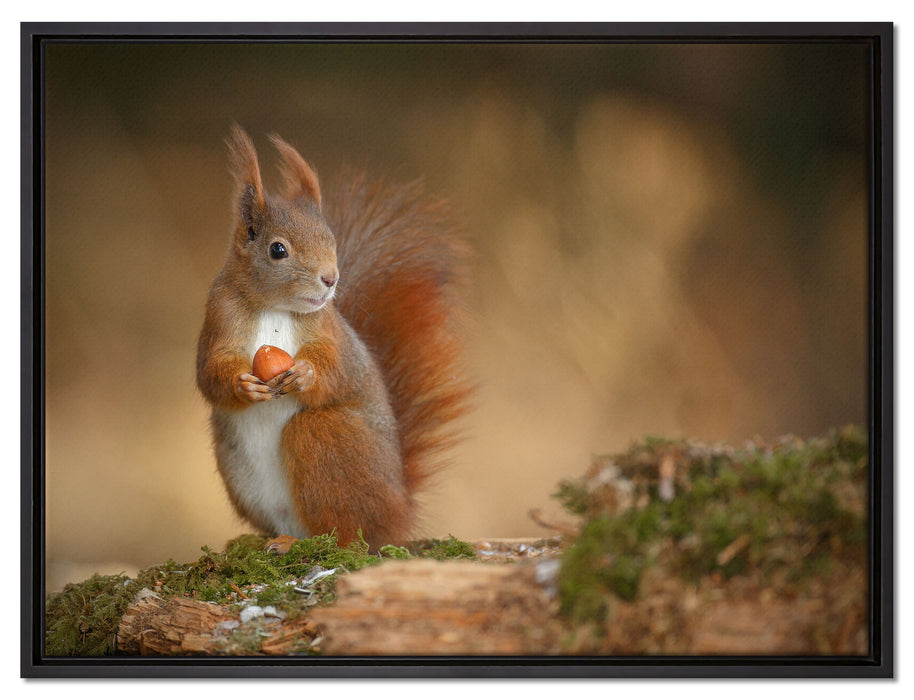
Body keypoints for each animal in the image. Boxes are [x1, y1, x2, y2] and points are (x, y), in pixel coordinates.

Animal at [196, 125, 471, 552]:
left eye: (331, 240)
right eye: (278, 249)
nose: (330, 279)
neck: (274, 308)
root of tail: (398, 512)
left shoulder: (330, 331)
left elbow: (336, 367)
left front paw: (306, 374)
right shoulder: (219, 318)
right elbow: (210, 373)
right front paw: (243, 385)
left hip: (326, 437)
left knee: (345, 534)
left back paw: (303, 543)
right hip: (238, 471)